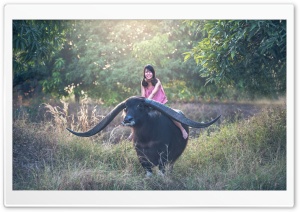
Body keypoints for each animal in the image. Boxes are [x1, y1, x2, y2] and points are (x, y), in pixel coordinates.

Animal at [66, 96, 220, 177]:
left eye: (140, 106)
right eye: (126, 108)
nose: (127, 119)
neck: (147, 139)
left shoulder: (164, 157)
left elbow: (162, 172)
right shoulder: (141, 156)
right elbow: (148, 172)